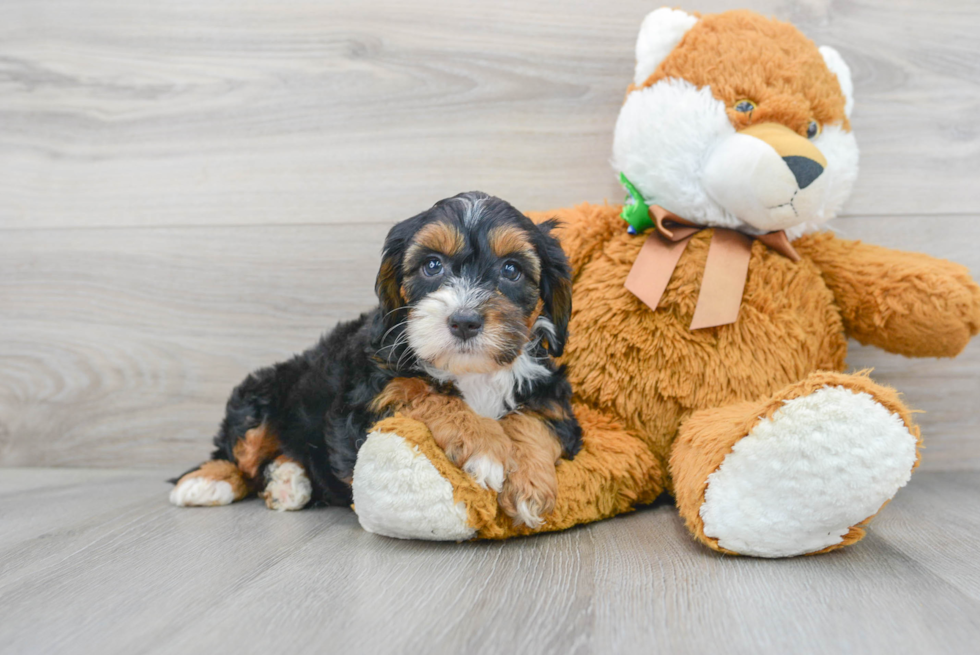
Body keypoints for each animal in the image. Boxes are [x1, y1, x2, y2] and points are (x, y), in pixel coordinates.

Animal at [170, 192, 580, 532]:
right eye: (432, 265)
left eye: (511, 270)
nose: (464, 321)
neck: (471, 372)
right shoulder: (367, 398)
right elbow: (426, 394)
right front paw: (486, 445)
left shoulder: (552, 394)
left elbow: (535, 420)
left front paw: (529, 485)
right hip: (259, 395)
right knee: (238, 454)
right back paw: (207, 482)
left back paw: (288, 480)